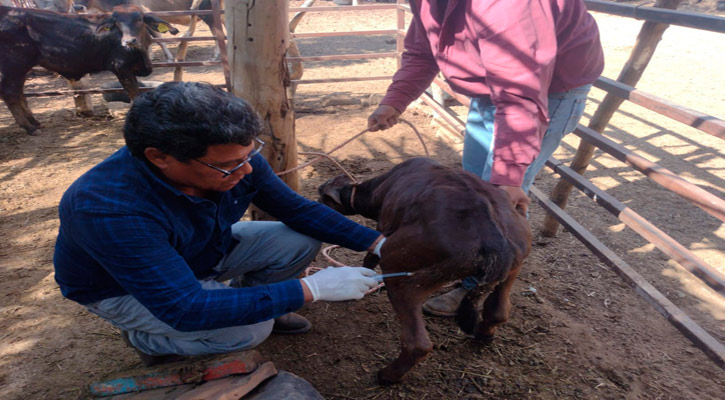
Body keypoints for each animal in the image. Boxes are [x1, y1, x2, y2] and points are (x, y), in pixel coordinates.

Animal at [0, 5, 178, 134]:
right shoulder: (121, 68)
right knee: (10, 94)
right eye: (117, 24)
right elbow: (134, 94)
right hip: (14, 66)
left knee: (19, 93)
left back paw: (35, 123)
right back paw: (29, 127)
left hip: (20, 69)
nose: (128, 41)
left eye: (139, 19)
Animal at [318, 158, 532, 386]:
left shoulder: (383, 228)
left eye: (322, 196)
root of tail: (495, 240)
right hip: (513, 269)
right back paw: (484, 336)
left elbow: (370, 257)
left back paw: (387, 376)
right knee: (498, 311)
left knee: (417, 344)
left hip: (403, 274)